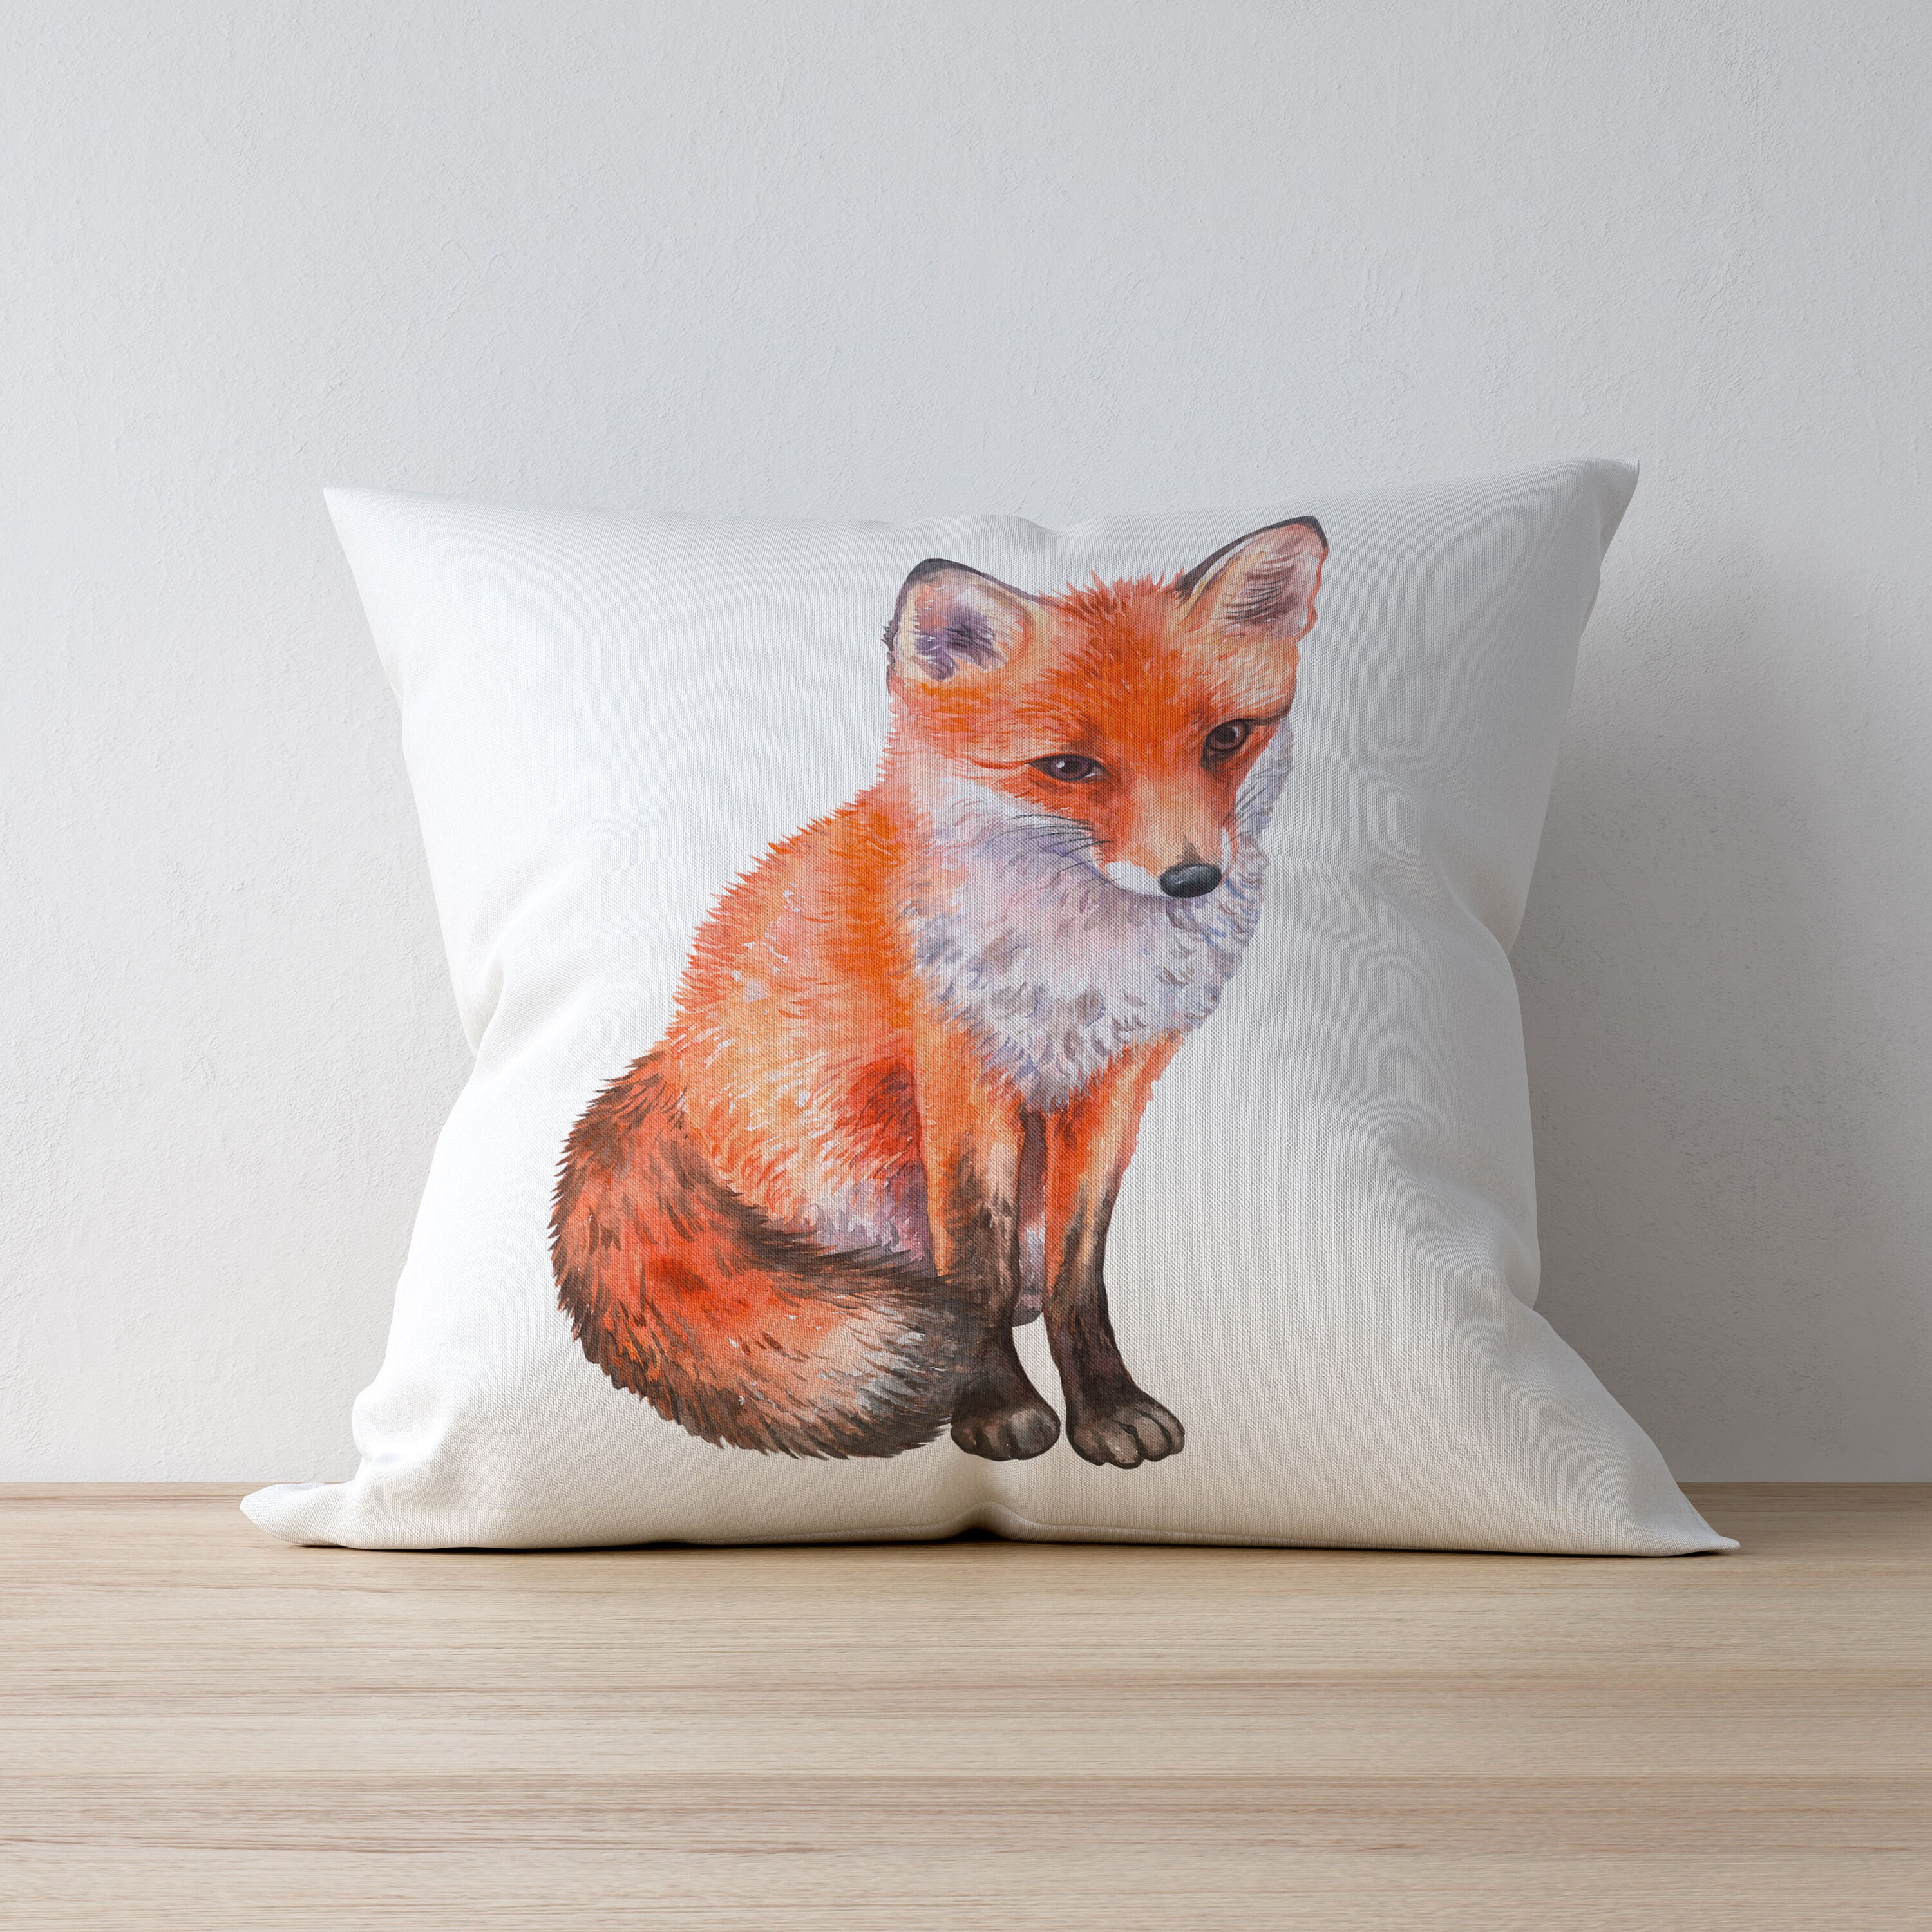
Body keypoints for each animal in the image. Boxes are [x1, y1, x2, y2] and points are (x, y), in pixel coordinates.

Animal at [551, 516, 1327, 1467]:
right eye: (1069, 767)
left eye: (1226, 739)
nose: (1191, 879)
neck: (1081, 967)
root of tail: (667, 1068)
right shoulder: (960, 1064)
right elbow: (973, 1259)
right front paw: (993, 1402)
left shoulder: (1118, 1078)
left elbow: (1080, 1271)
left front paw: (1106, 1405)